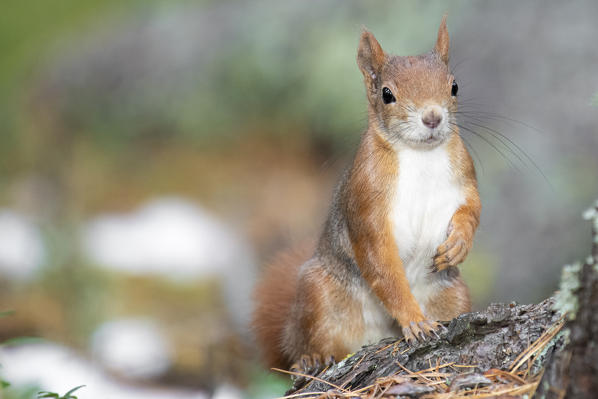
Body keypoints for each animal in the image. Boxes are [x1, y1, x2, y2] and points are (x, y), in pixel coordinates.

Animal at [253, 15, 482, 372]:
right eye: (387, 94)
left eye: (454, 85)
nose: (432, 117)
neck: (421, 156)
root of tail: (376, 333)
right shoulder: (366, 200)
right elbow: (382, 266)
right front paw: (415, 321)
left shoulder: (464, 178)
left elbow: (472, 208)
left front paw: (458, 243)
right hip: (319, 293)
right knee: (302, 342)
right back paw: (310, 358)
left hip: (452, 293)